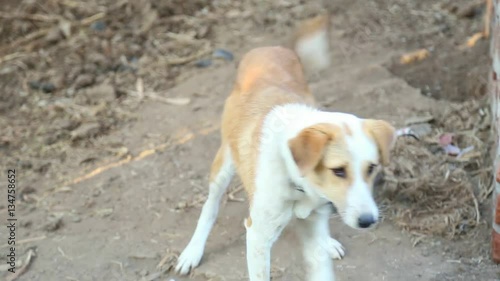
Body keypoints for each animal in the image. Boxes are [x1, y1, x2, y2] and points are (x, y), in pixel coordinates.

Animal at [174, 13, 396, 280]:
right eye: (338, 171)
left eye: (372, 168)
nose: (368, 220)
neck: (297, 179)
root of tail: (271, 48)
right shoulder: (257, 236)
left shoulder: (315, 224)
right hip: (224, 165)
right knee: (210, 206)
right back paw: (193, 250)